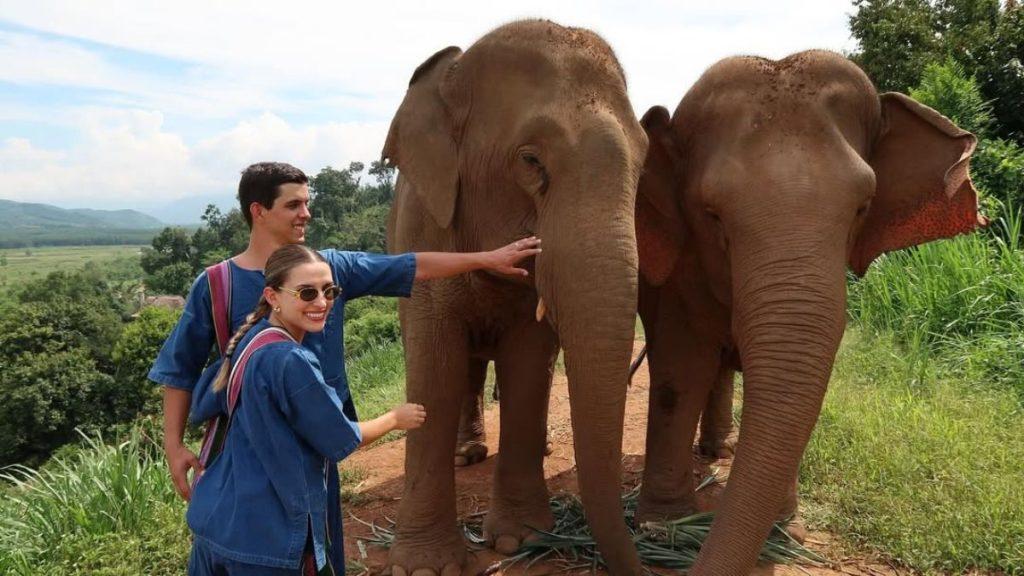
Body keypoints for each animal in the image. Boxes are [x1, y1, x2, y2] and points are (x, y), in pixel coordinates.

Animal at [383, 20, 648, 576]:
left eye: (644, 161)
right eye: (530, 161)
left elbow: (529, 362)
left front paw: (519, 540)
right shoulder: (424, 226)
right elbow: (435, 366)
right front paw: (423, 567)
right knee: (462, 367)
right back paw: (466, 455)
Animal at [633, 50, 981, 575]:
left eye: (862, 207)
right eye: (712, 215)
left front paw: (786, 533)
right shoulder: (678, 267)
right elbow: (681, 368)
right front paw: (663, 525)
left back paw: (720, 450)